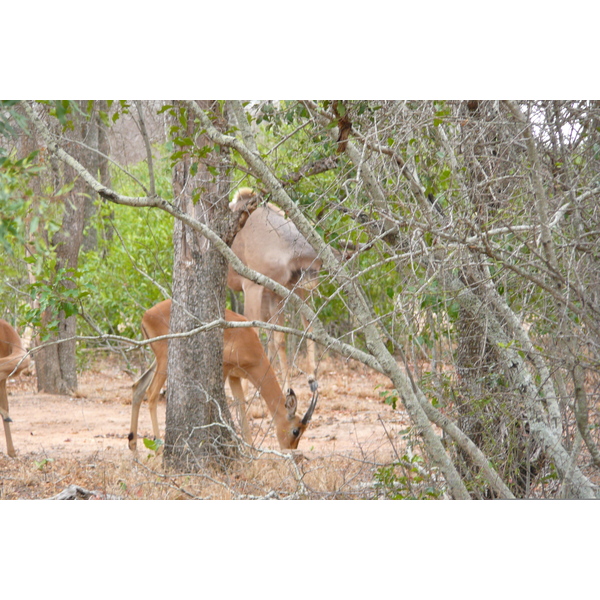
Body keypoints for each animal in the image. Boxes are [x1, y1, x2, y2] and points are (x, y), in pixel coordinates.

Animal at [128, 300, 318, 450]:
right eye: (295, 430)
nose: (290, 451)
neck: (249, 343)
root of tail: (146, 315)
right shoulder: (225, 370)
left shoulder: (235, 377)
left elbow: (241, 406)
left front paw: (250, 451)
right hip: (165, 359)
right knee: (151, 393)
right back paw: (159, 449)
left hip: (158, 360)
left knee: (138, 387)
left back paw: (134, 448)